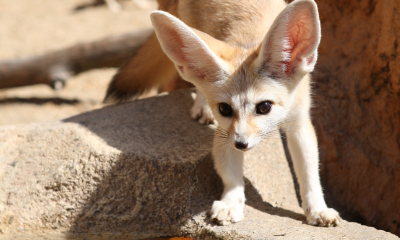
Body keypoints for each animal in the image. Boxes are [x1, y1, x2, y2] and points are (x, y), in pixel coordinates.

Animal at [110, 0, 340, 227]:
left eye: (264, 107)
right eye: (225, 109)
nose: (241, 144)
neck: (251, 37)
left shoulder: (299, 121)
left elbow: (310, 172)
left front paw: (317, 209)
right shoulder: (225, 133)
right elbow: (230, 173)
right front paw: (231, 203)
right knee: (197, 83)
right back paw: (201, 106)